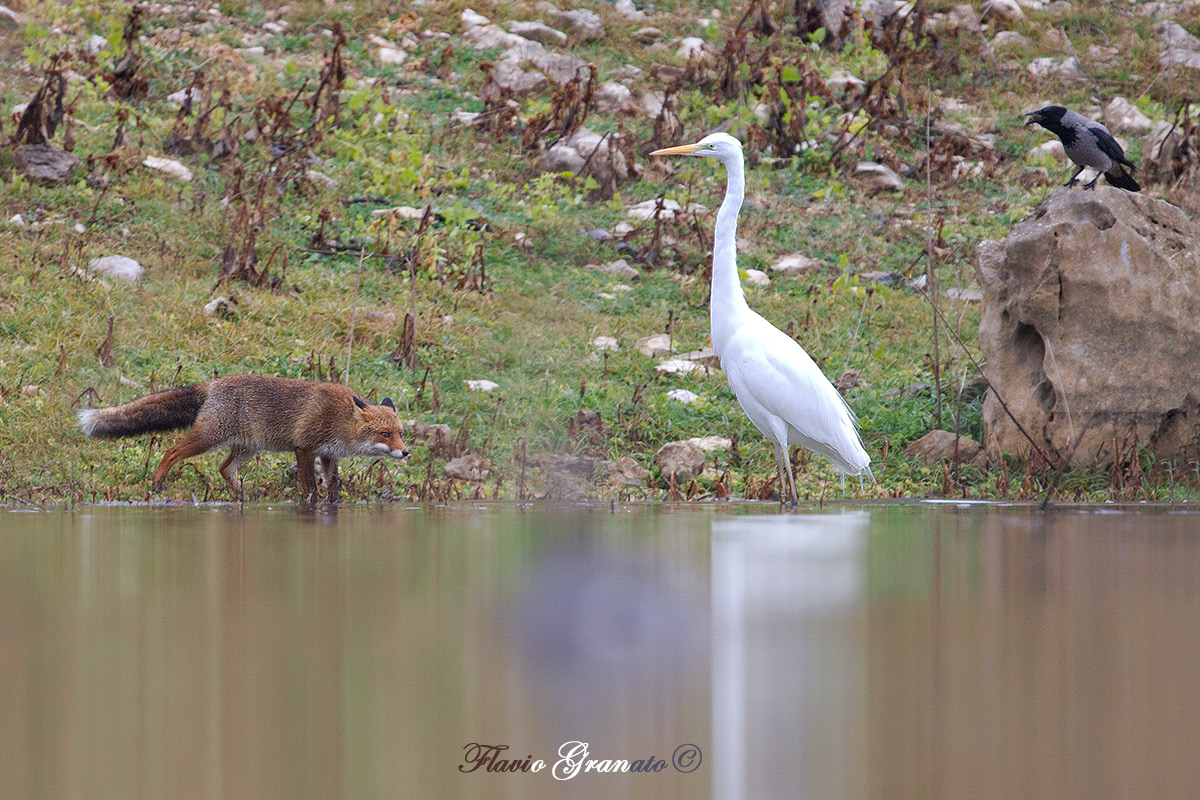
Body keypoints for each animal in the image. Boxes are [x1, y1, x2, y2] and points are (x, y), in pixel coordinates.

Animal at [79, 376, 410, 501]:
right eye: (384, 434)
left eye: (401, 433)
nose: (406, 453)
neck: (338, 418)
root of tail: (212, 383)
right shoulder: (304, 447)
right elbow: (308, 487)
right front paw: (310, 504)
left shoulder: (328, 454)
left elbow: (333, 487)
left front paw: (334, 504)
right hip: (208, 438)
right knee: (171, 452)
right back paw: (158, 483)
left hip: (248, 448)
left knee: (224, 469)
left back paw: (243, 495)